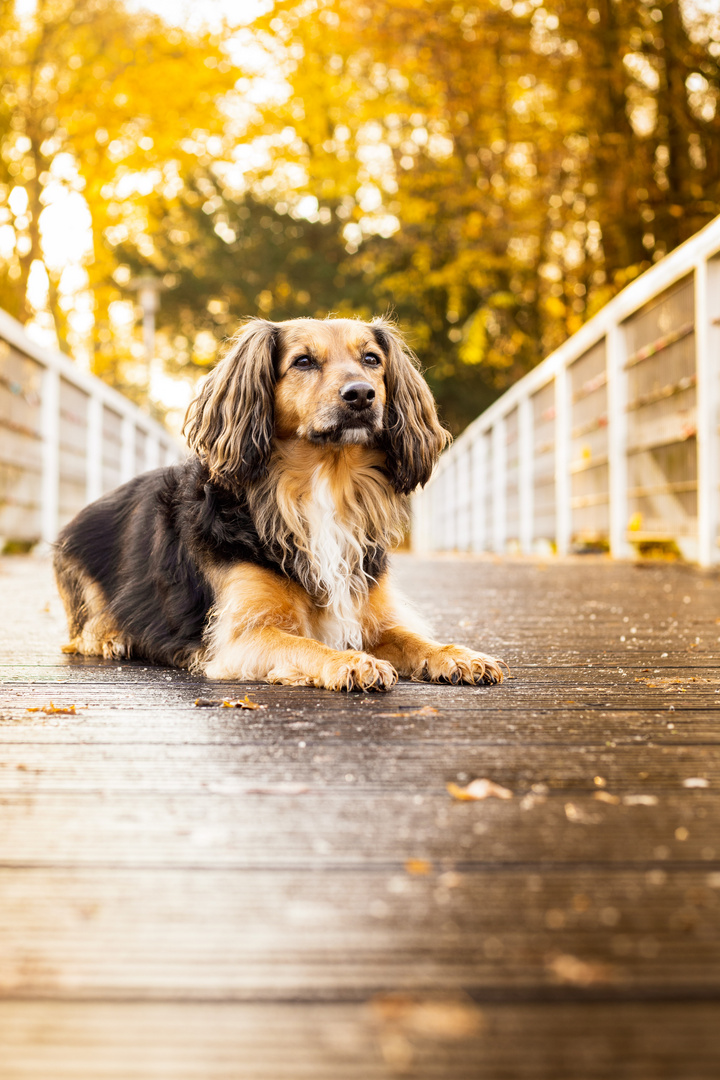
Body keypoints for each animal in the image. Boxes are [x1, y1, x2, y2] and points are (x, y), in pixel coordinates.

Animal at [55, 317, 507, 691]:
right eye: (303, 361)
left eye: (371, 359)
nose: (362, 394)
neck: (323, 484)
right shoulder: (242, 636)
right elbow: (305, 646)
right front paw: (350, 662)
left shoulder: (368, 612)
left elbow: (414, 638)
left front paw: (458, 655)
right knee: (82, 631)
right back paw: (110, 637)